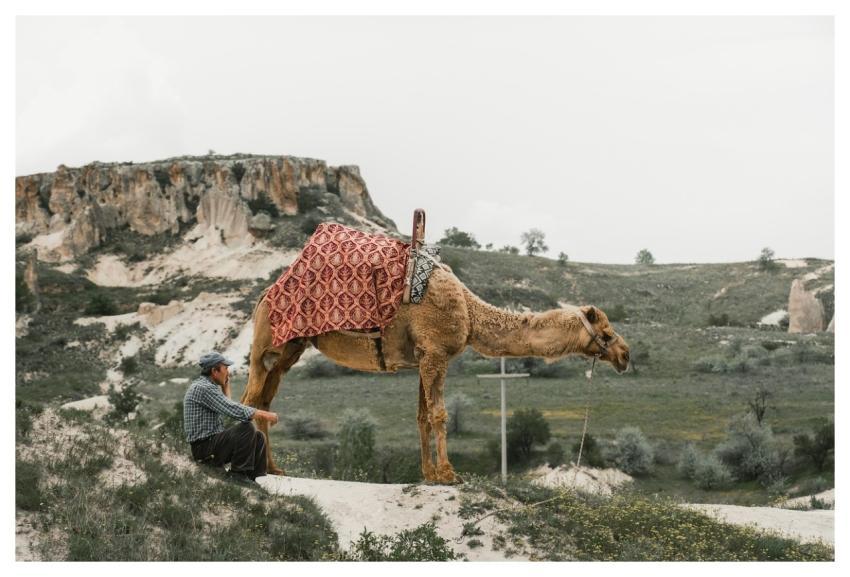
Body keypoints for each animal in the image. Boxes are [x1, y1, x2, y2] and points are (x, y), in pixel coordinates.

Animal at [241, 264, 630, 484]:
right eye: (607, 332)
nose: (625, 355)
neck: (469, 311)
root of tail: (262, 296)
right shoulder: (436, 354)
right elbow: (440, 414)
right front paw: (448, 475)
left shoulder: (423, 358)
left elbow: (422, 415)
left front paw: (428, 475)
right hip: (266, 343)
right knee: (250, 397)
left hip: (289, 350)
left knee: (264, 401)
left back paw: (274, 469)